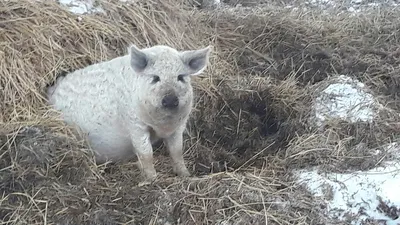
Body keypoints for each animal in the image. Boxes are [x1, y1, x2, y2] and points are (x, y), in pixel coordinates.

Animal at [46, 44, 212, 185]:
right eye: (155, 77)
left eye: (181, 77)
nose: (170, 99)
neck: (162, 124)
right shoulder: (135, 124)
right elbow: (146, 153)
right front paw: (152, 180)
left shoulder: (179, 126)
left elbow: (177, 151)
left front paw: (187, 175)